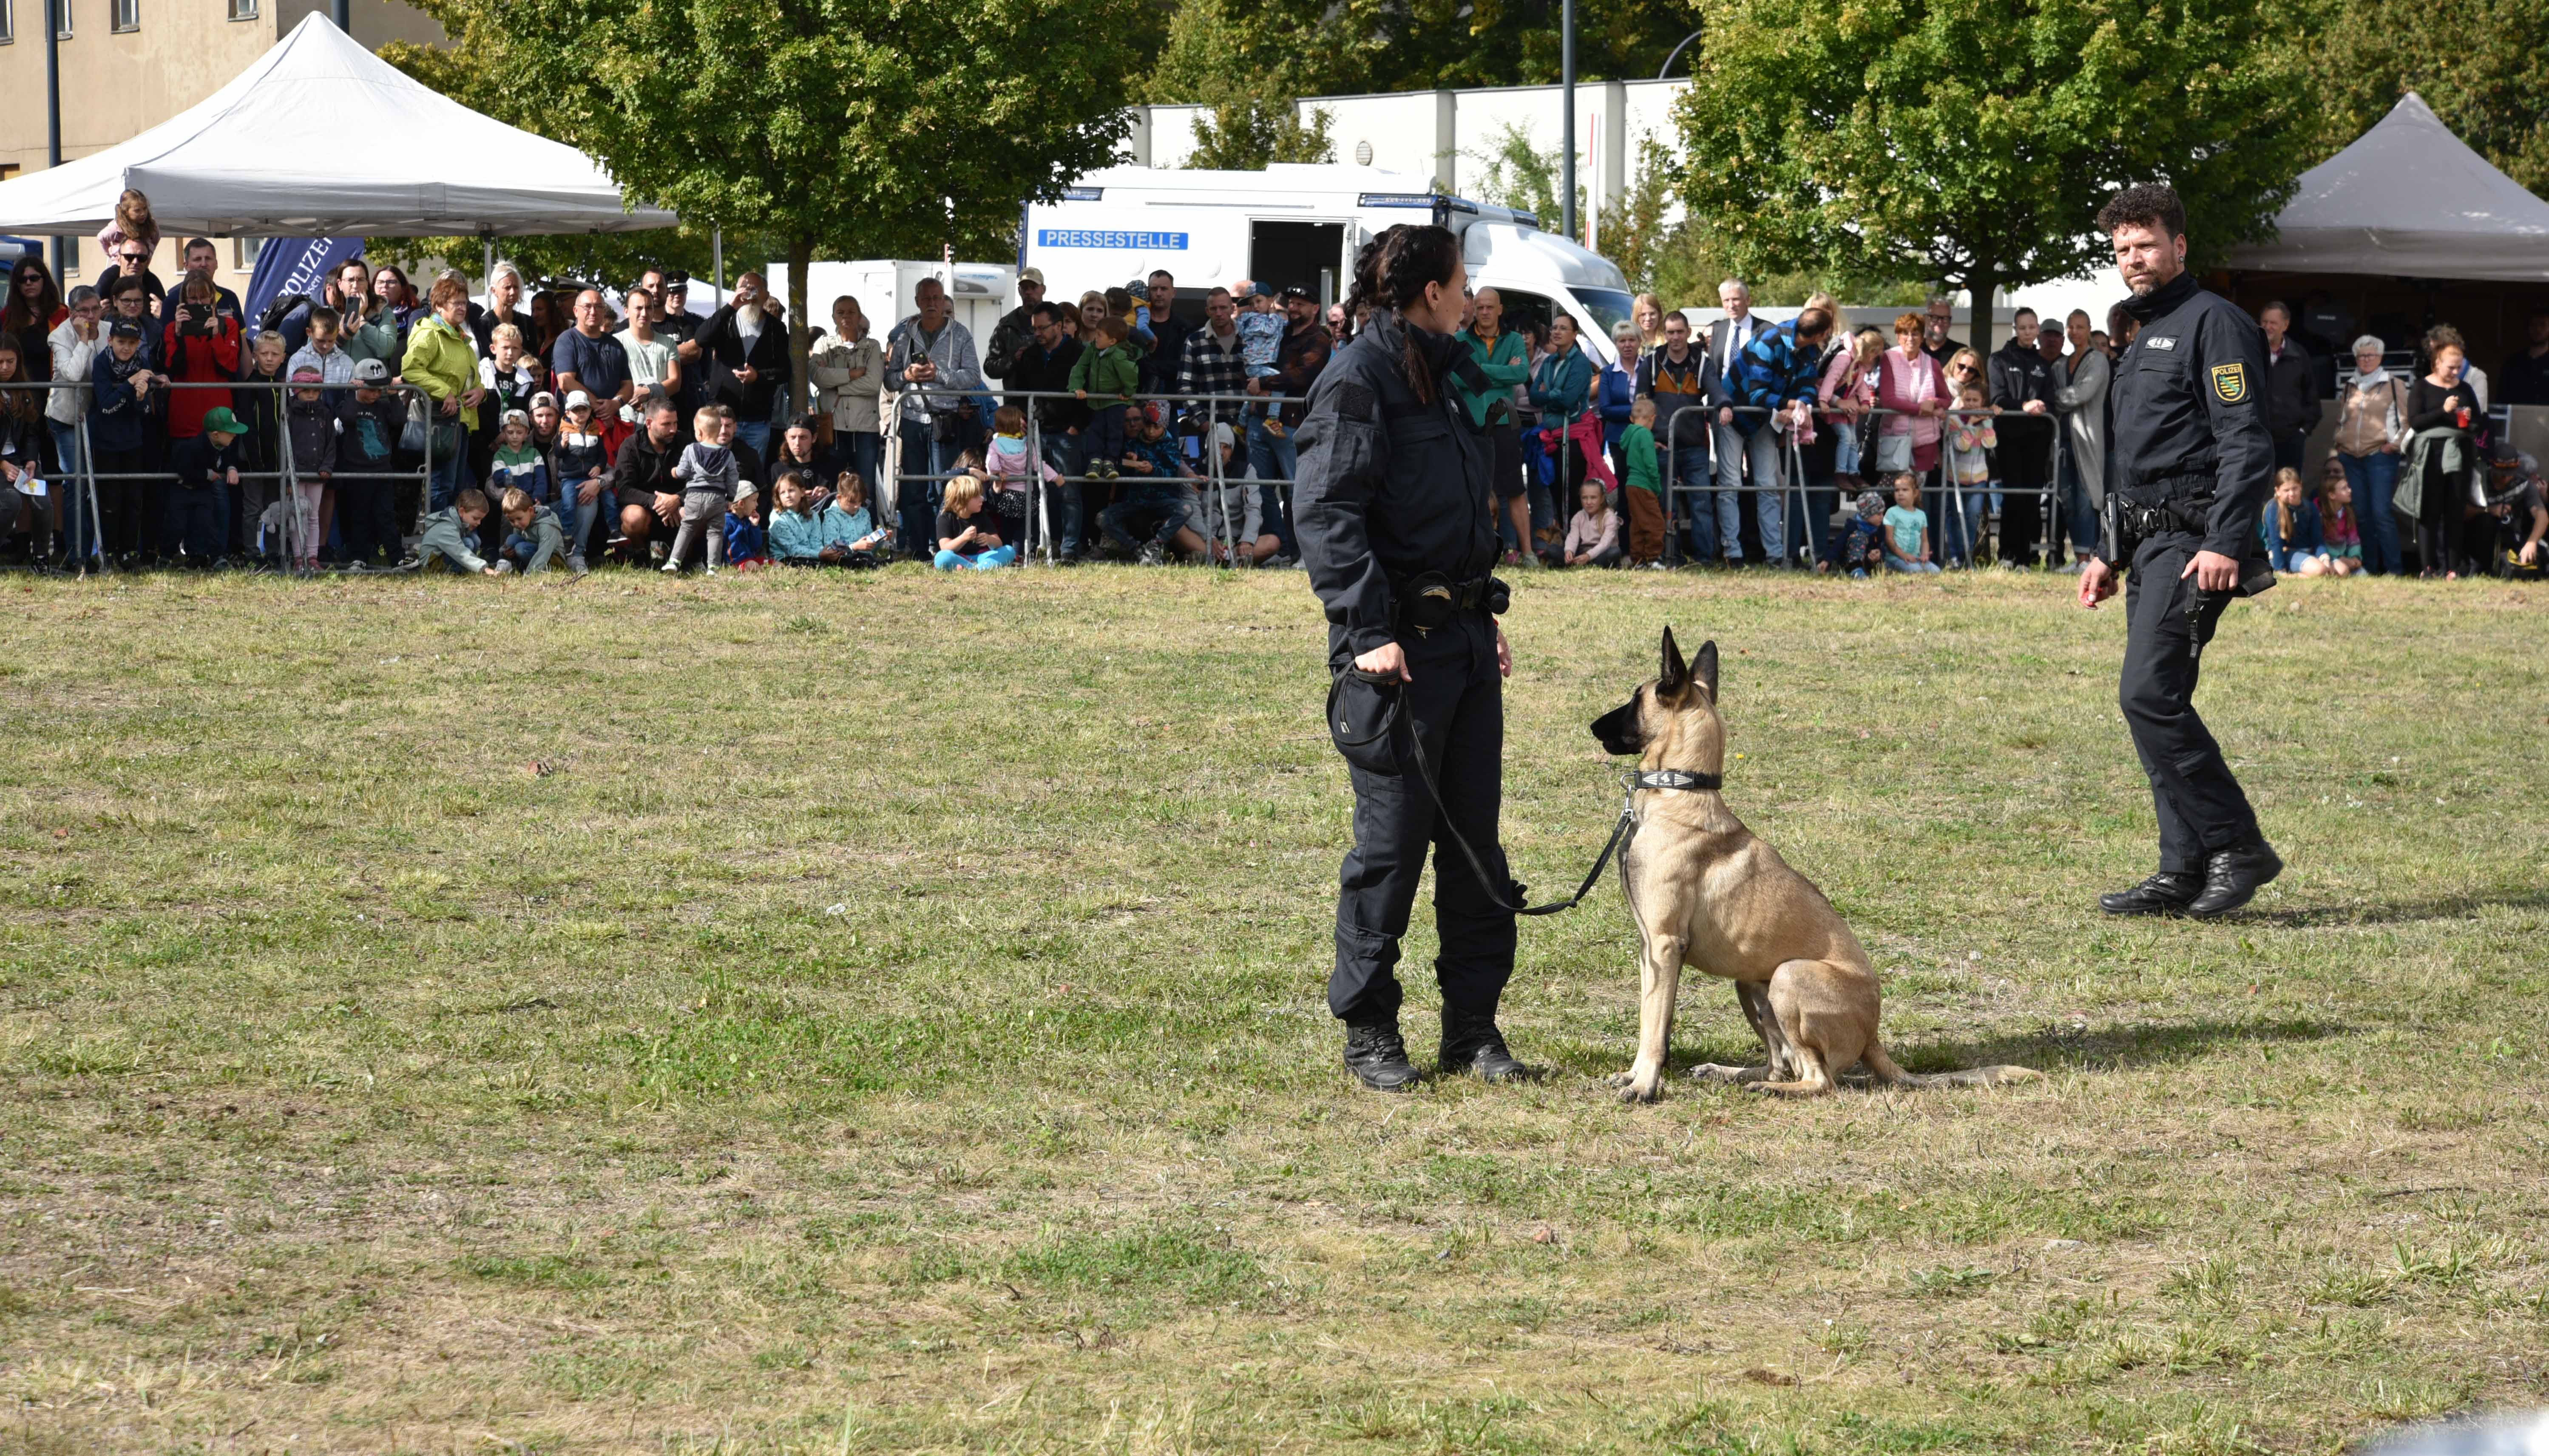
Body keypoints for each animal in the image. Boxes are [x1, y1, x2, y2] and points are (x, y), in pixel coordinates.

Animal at [1580, 630, 2039, 1107]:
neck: (1682, 792)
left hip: (1788, 975)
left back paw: (1766, 1087)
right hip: (1751, 983)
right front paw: (1634, 1075)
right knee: (1783, 1063)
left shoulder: (1666, 945)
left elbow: (1655, 1028)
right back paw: (1732, 1073)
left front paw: (1644, 1085)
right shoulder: (1649, 949)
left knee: (1820, 1079)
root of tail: (1873, 1036)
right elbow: (1647, 1017)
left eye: (1636, 697)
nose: (1592, 727)